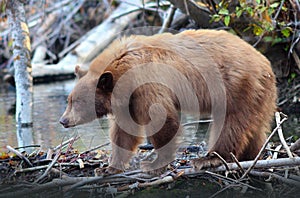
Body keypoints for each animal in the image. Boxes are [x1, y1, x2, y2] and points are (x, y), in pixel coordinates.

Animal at [59, 29, 276, 173]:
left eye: (77, 102)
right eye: (70, 100)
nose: (63, 120)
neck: (123, 67)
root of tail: (266, 64)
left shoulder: (146, 82)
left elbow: (161, 119)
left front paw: (155, 164)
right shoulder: (128, 99)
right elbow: (124, 132)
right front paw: (110, 167)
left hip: (237, 87)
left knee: (230, 124)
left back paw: (209, 158)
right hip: (259, 95)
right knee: (254, 126)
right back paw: (252, 156)